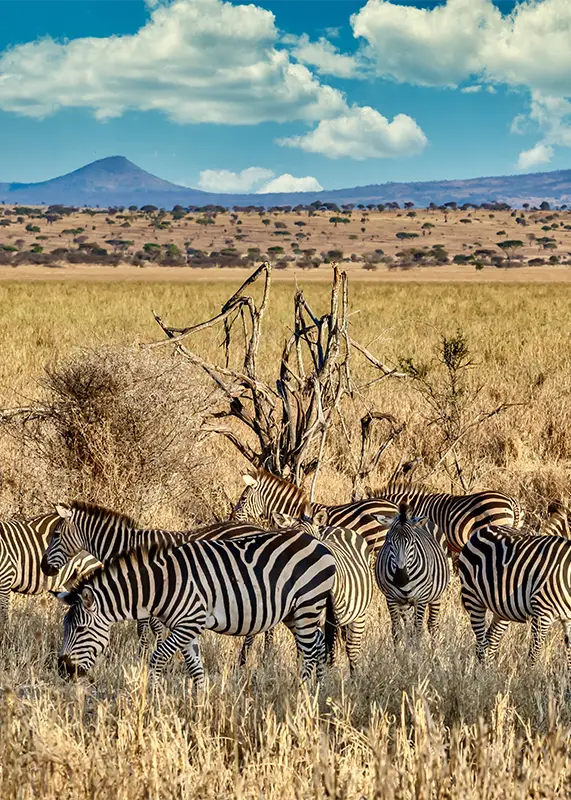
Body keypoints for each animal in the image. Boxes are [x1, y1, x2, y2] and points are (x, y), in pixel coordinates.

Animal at [41, 501, 267, 652]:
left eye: (56, 535)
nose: (44, 567)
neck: (125, 546)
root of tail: (259, 527)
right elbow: (149, 627)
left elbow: (146, 628)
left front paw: (145, 654)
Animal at [55, 528, 336, 687]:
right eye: (65, 628)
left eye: (80, 629)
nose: (63, 671)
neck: (161, 585)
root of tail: (319, 543)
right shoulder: (185, 628)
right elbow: (196, 669)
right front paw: (200, 707)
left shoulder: (190, 622)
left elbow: (157, 657)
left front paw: (152, 699)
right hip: (294, 613)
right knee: (319, 644)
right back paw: (319, 692)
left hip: (308, 605)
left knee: (310, 652)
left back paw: (302, 697)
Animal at [374, 503, 450, 640]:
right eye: (388, 541)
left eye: (413, 542)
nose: (401, 578)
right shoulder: (391, 598)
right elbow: (397, 630)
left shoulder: (421, 598)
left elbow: (418, 630)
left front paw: (417, 647)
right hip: (405, 603)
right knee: (409, 627)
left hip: (436, 596)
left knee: (432, 625)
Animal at [459, 524, 571, 668]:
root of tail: (484, 528)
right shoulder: (542, 611)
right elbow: (534, 654)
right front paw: (529, 673)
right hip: (473, 598)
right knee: (481, 642)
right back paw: (482, 671)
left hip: (502, 609)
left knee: (491, 639)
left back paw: (489, 670)